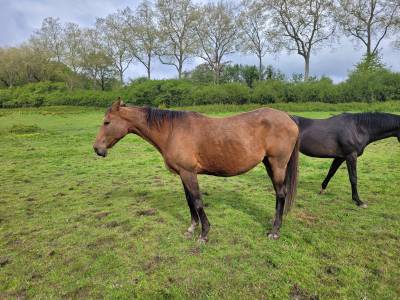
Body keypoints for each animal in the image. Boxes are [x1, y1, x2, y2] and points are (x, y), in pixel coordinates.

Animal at [94, 99, 300, 243]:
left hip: (277, 164)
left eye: (106, 122)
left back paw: (274, 231)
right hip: (269, 164)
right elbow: (189, 201)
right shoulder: (183, 174)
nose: (97, 149)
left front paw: (204, 233)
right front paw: (192, 228)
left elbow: (198, 201)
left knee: (281, 194)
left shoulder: (189, 173)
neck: (172, 131)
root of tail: (288, 117)